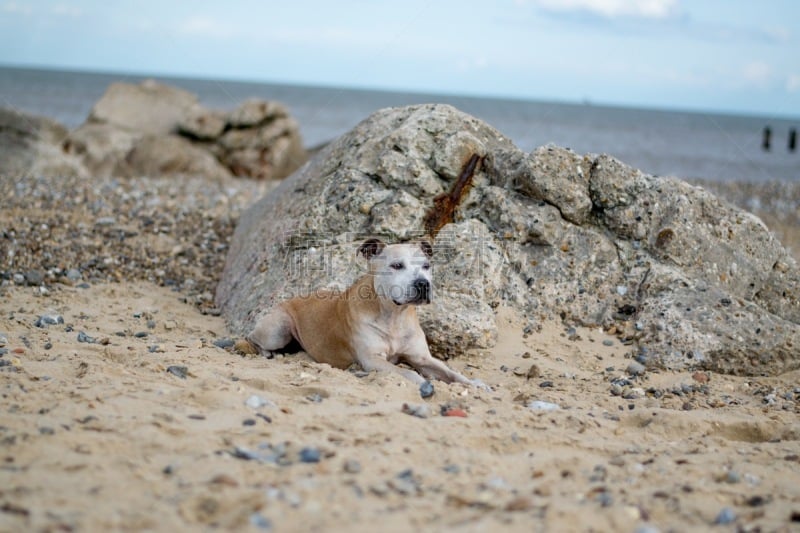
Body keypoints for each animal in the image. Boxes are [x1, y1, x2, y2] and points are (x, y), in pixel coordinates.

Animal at [247, 238, 478, 386]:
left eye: (427, 266)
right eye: (397, 265)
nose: (423, 284)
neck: (394, 315)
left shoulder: (422, 358)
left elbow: (451, 372)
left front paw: (474, 383)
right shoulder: (373, 360)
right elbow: (405, 373)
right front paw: (422, 382)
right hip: (278, 330)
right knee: (252, 337)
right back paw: (266, 352)